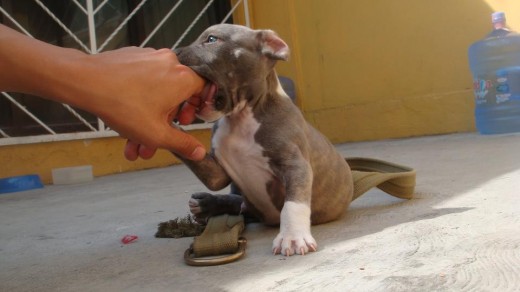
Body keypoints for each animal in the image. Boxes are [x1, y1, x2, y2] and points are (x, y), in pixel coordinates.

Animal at [175, 24, 354, 256]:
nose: (173, 53)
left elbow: (292, 204)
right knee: (240, 204)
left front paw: (292, 237)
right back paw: (207, 203)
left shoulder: (295, 165)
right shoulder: (217, 173)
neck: (241, 117)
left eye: (212, 39)